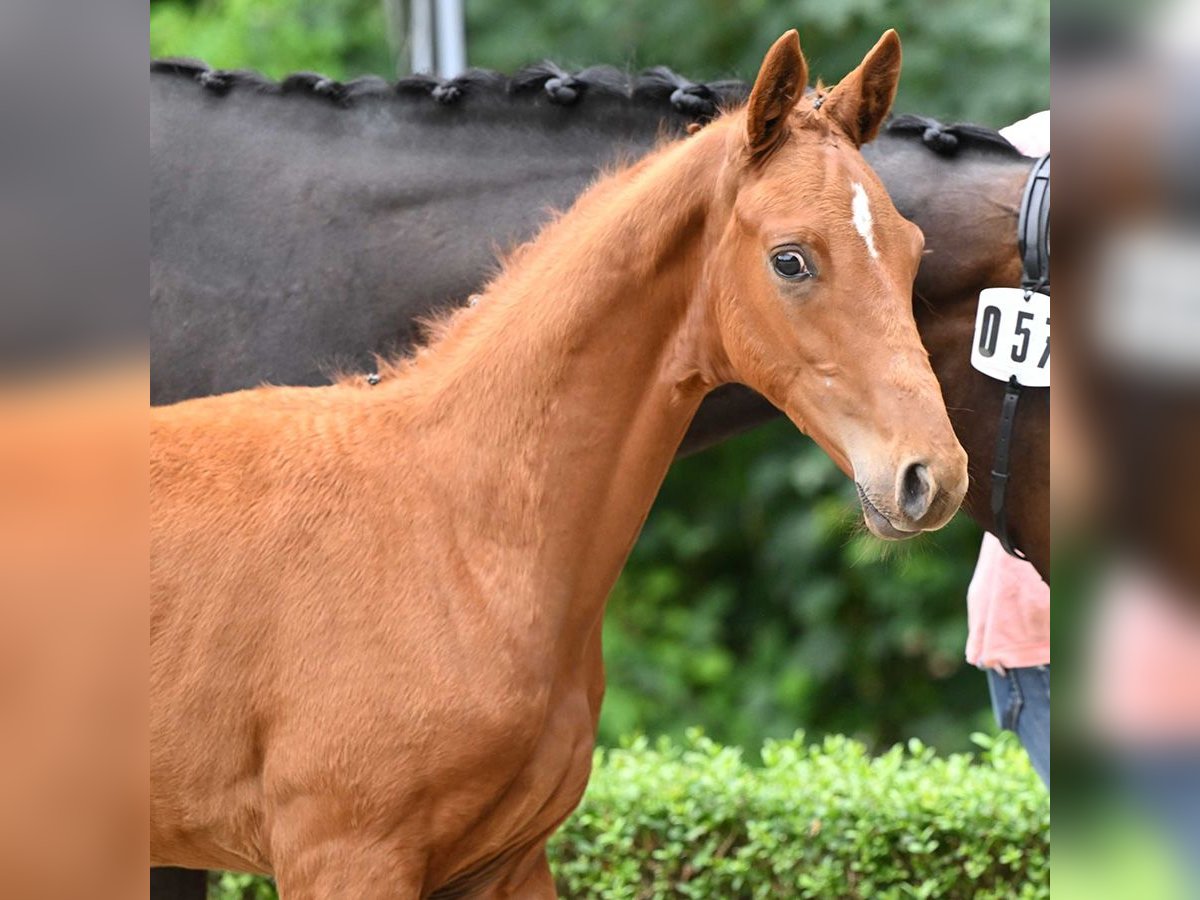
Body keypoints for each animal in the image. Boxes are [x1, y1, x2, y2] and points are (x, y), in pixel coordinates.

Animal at [154, 30, 969, 900]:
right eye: (791, 260)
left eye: (915, 252)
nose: (932, 476)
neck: (458, 529)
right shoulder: (344, 854)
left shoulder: (507, 861)